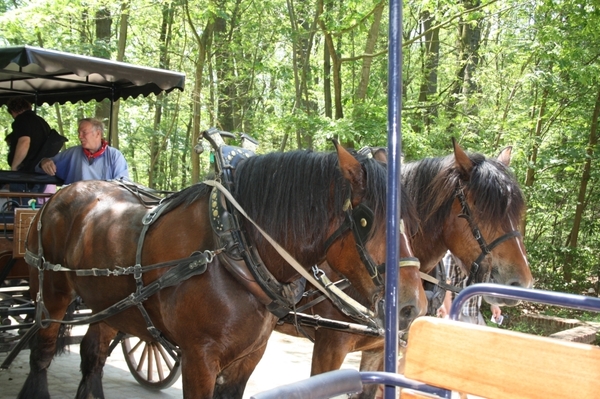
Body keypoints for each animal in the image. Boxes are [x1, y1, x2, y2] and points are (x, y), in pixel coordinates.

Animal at [18, 143, 426, 399]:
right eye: (365, 219)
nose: (412, 306)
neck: (235, 248)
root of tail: (61, 194)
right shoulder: (199, 356)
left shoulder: (250, 356)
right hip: (51, 297)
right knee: (41, 354)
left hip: (113, 307)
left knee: (93, 358)